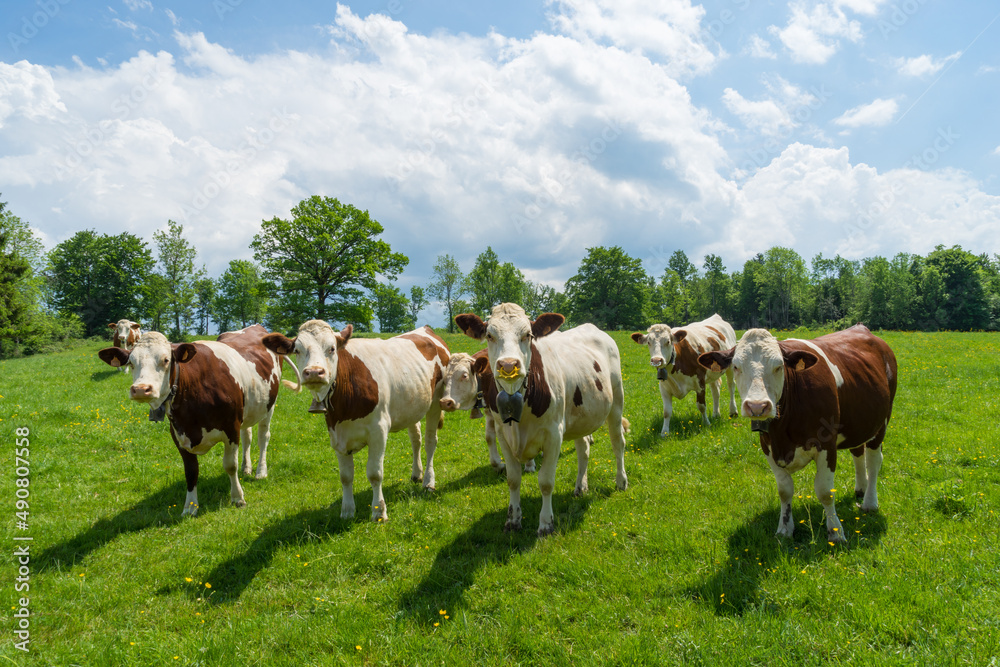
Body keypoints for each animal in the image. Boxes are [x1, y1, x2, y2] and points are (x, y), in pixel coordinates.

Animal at [96, 324, 286, 516]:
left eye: (166, 360)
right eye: (131, 363)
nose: (141, 389)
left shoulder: (231, 428)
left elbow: (230, 465)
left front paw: (237, 498)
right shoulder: (178, 433)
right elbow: (191, 471)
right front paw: (190, 507)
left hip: (269, 405)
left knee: (263, 437)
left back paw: (260, 471)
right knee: (247, 435)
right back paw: (246, 468)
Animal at [260, 322, 448, 520]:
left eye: (332, 348)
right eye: (297, 350)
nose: (314, 372)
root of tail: (425, 329)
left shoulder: (378, 431)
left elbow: (375, 473)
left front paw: (379, 511)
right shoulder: (336, 434)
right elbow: (345, 476)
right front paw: (347, 511)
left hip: (436, 401)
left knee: (430, 442)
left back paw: (428, 482)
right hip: (413, 405)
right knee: (415, 439)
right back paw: (416, 474)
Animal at [458, 304, 628, 536]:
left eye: (527, 335)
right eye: (490, 335)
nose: (508, 365)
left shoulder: (554, 435)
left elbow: (546, 481)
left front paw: (546, 524)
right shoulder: (503, 435)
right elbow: (513, 479)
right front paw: (513, 519)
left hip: (616, 402)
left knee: (618, 443)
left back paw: (621, 481)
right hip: (580, 416)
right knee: (583, 449)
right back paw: (580, 486)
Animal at [696, 326, 900, 544]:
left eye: (779, 366)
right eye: (736, 366)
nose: (757, 406)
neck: (783, 431)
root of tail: (861, 328)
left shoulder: (827, 444)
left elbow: (825, 492)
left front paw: (836, 532)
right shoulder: (767, 445)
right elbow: (784, 490)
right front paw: (785, 529)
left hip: (882, 421)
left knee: (874, 461)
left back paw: (870, 502)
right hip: (859, 422)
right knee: (858, 452)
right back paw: (860, 489)